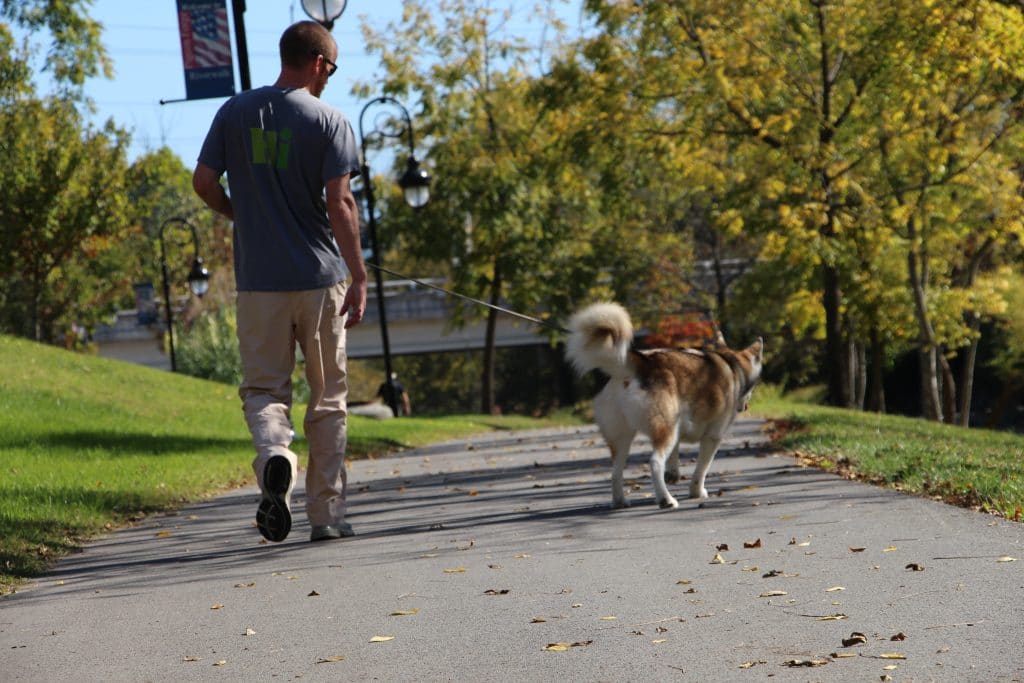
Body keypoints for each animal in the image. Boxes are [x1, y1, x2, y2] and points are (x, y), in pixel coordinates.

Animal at [565, 303, 765, 507]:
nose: (745, 406)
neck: (731, 364)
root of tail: (642, 363)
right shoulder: (712, 437)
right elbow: (701, 470)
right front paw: (697, 492)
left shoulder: (678, 428)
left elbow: (675, 455)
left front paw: (673, 473)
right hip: (664, 429)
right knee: (655, 462)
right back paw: (666, 499)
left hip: (623, 437)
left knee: (615, 472)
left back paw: (620, 501)